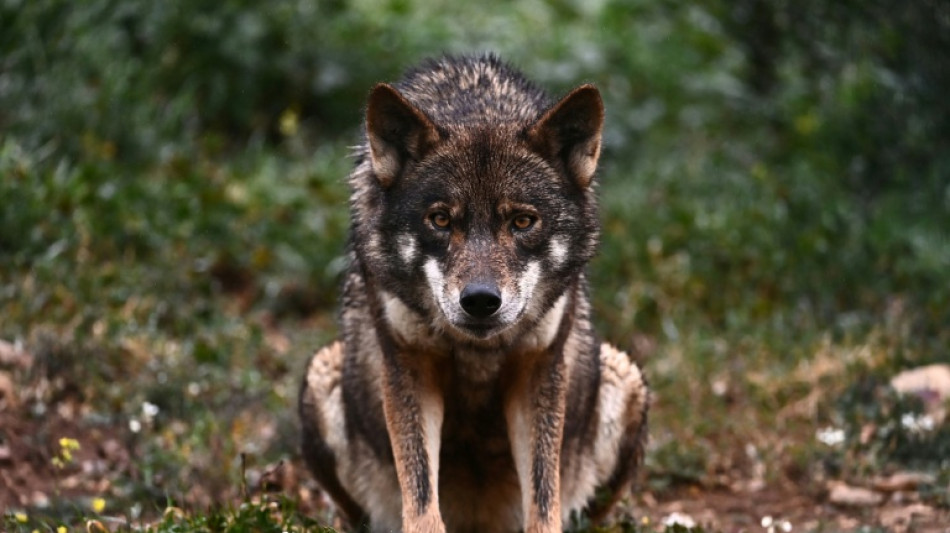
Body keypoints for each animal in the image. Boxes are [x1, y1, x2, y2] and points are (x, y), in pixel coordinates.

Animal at [299, 54, 649, 533]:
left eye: (522, 222)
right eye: (441, 219)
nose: (481, 300)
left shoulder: (538, 366)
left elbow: (543, 496)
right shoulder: (408, 362)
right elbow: (420, 493)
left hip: (625, 378)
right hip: (319, 379)